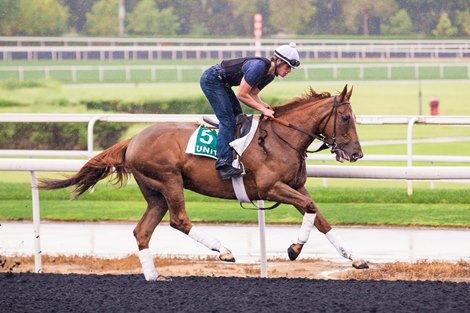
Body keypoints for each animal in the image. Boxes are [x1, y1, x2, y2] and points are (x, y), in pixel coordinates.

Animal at [39, 83, 368, 280]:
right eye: (346, 118)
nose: (356, 153)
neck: (281, 138)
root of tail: (133, 139)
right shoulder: (271, 188)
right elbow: (311, 208)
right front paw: (295, 248)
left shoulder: (295, 187)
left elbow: (320, 217)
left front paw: (355, 259)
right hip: (169, 180)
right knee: (179, 220)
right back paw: (224, 251)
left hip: (155, 193)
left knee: (142, 231)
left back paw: (154, 277)